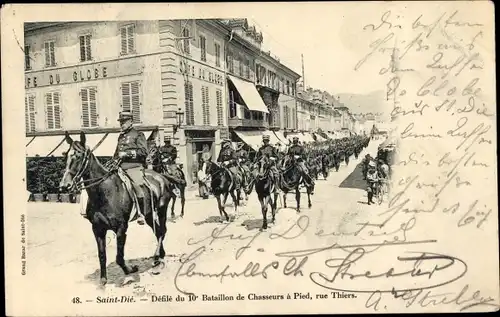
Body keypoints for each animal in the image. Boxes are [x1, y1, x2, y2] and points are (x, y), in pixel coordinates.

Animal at [58, 131, 172, 286]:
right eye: (66, 155)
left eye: (79, 155)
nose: (64, 186)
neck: (104, 192)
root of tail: (161, 177)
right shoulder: (98, 229)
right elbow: (102, 255)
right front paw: (103, 279)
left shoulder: (121, 228)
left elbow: (119, 256)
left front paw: (129, 270)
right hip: (148, 215)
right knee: (158, 231)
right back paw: (159, 256)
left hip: (161, 210)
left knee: (162, 231)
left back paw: (157, 259)